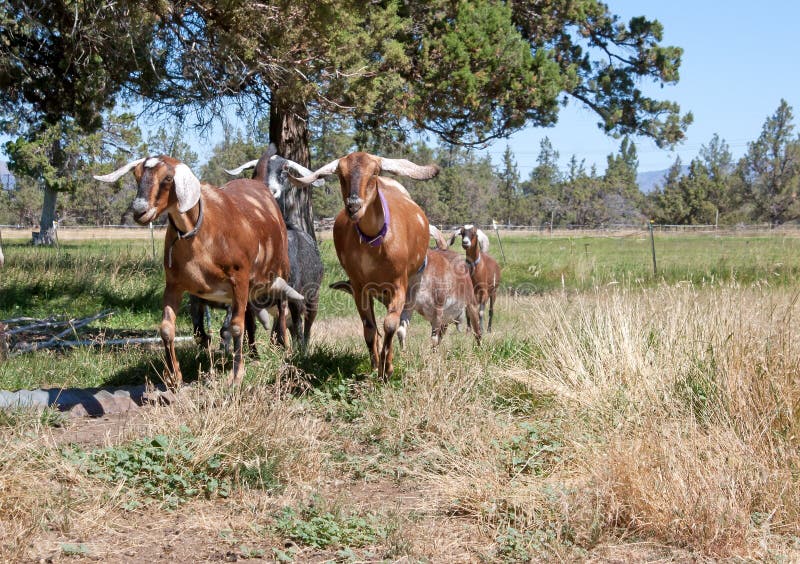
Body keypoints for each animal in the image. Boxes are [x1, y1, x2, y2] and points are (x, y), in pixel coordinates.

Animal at [94, 155, 302, 387]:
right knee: (250, 317)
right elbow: (168, 328)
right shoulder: (174, 284)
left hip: (280, 270)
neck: (201, 233)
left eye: (168, 178)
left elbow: (235, 327)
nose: (140, 211)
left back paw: (284, 348)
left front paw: (236, 376)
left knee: (282, 308)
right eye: (137, 175)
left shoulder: (238, 278)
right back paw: (254, 354)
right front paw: (174, 376)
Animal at [289, 152, 439, 378]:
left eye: (374, 172)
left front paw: (387, 368)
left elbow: (390, 324)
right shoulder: (359, 287)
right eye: (340, 174)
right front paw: (376, 365)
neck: (373, 244)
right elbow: (369, 327)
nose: (354, 206)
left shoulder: (399, 285)